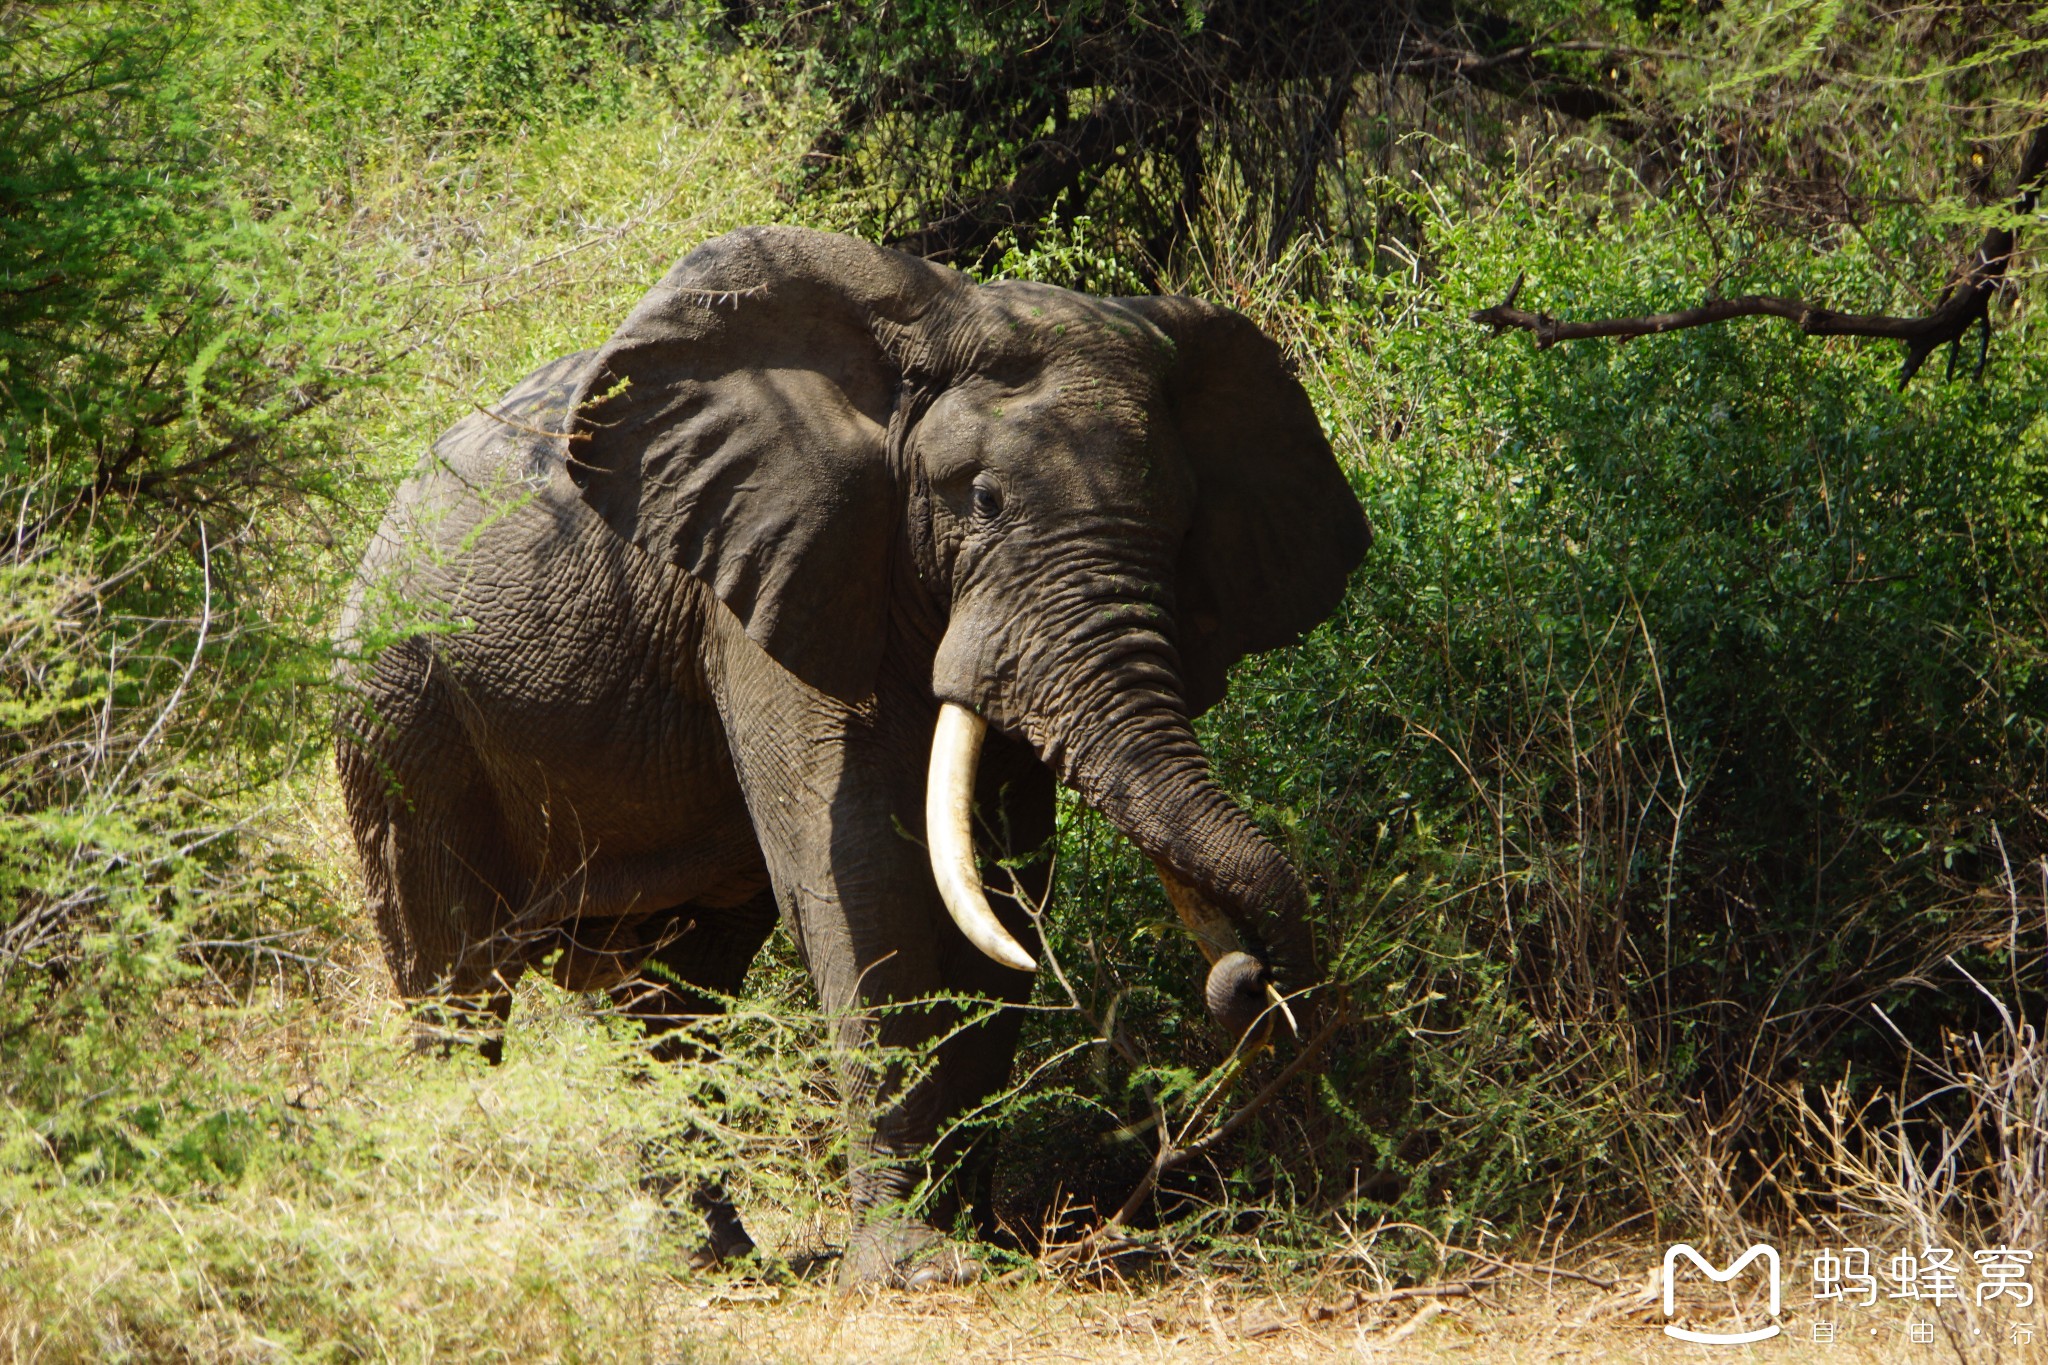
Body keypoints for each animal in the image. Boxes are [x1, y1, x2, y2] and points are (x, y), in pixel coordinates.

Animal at [331, 222, 1359, 1285]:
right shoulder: (778, 570)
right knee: (453, 979)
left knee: (677, 995)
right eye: (981, 499)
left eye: (1182, 525)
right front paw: (920, 1268)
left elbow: (997, 885)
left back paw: (717, 1260)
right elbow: (868, 874)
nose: (1251, 980)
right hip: (400, 704)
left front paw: (974, 1241)